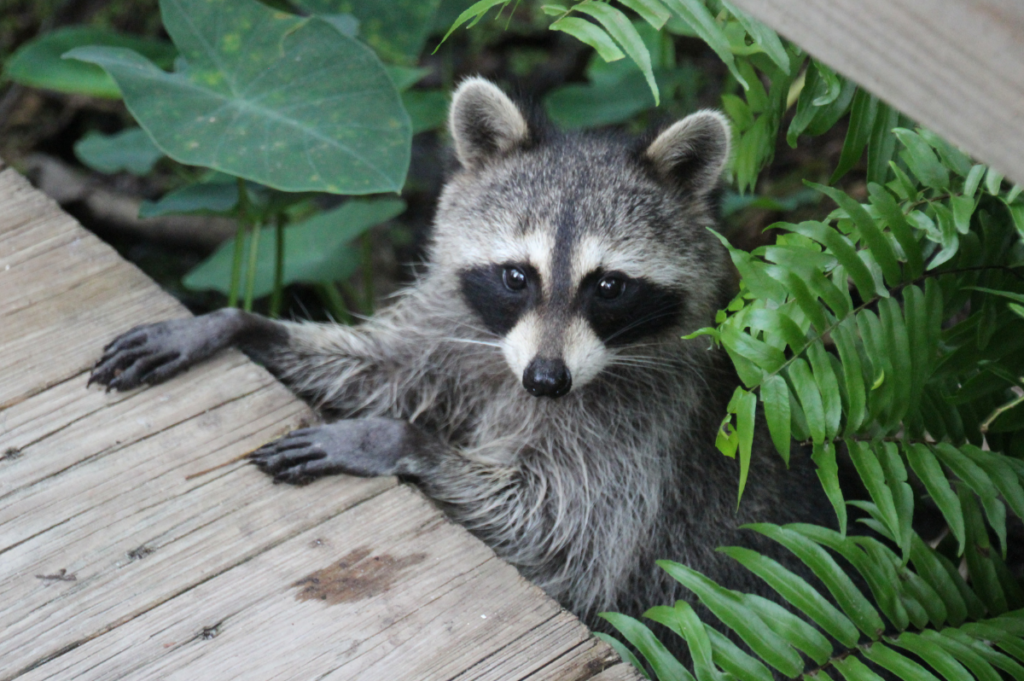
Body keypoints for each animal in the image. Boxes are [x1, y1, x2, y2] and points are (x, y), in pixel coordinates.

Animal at [90, 78, 832, 655]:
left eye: (609, 286)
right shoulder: (459, 332)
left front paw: (392, 438)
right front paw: (236, 322)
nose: (547, 380)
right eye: (516, 275)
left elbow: (563, 536)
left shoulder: (646, 426)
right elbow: (382, 369)